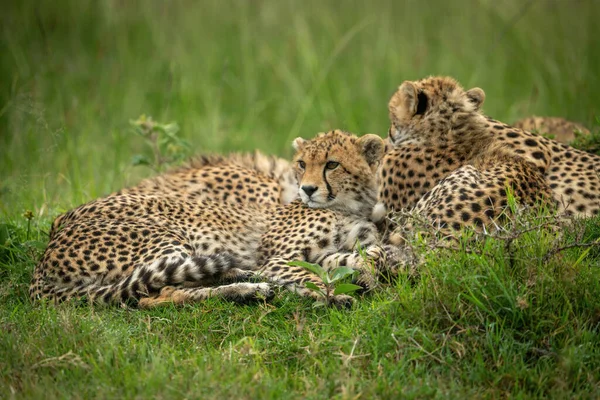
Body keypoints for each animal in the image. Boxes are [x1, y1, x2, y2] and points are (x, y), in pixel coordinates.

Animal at [31, 130, 394, 308]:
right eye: (303, 164)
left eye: (332, 164)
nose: (307, 189)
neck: (348, 205)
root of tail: (44, 257)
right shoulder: (279, 257)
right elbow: (311, 276)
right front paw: (333, 295)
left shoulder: (334, 251)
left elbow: (361, 256)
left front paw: (372, 270)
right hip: (166, 236)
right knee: (155, 294)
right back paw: (246, 288)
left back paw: (246, 284)